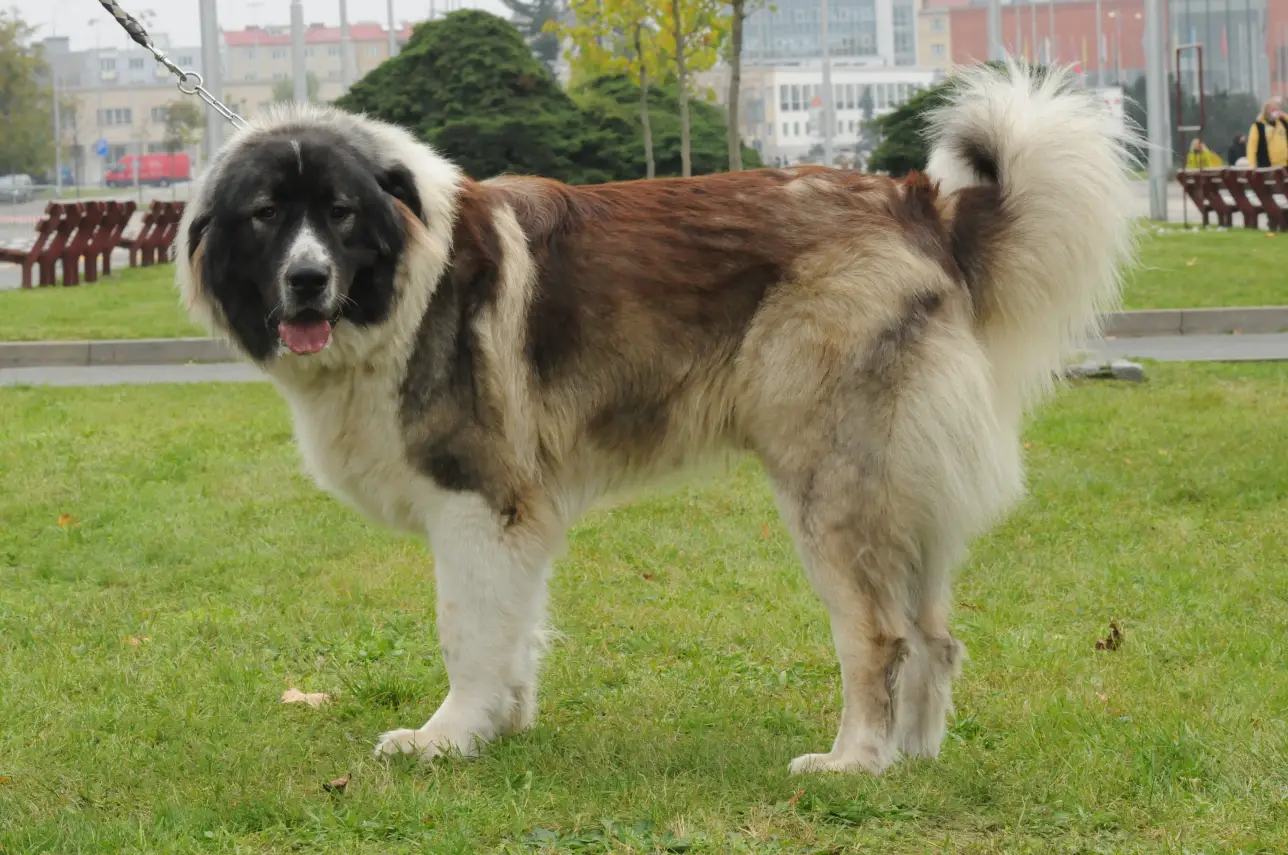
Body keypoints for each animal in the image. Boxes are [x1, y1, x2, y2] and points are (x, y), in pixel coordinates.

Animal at [173, 65, 1138, 772]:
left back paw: (853, 763)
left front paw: (447, 735)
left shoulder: (477, 501)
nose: (306, 279)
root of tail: (920, 206)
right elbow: (513, 629)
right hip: (906, 493)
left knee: (881, 635)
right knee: (936, 634)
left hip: (830, 487)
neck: (408, 279)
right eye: (267, 215)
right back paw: (913, 760)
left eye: (339, 213)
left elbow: (466, 631)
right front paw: (502, 725)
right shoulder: (515, 514)